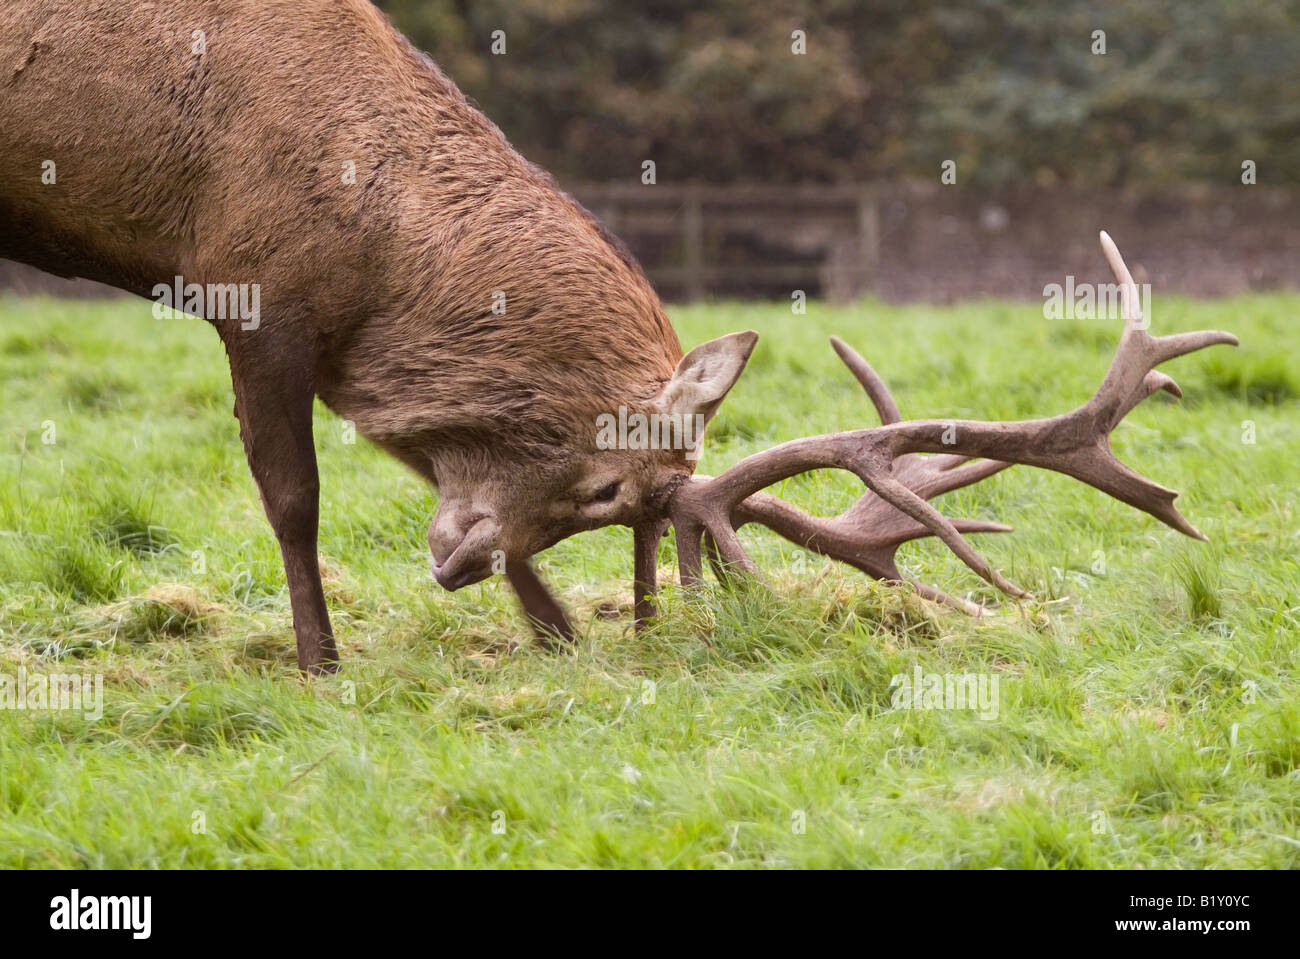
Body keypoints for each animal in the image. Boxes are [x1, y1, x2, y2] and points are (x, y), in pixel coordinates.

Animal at [0, 0, 1237, 674]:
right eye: (606, 490)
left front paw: (552, 626)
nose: (454, 565)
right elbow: (293, 497)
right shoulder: (253, 288)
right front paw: (320, 660)